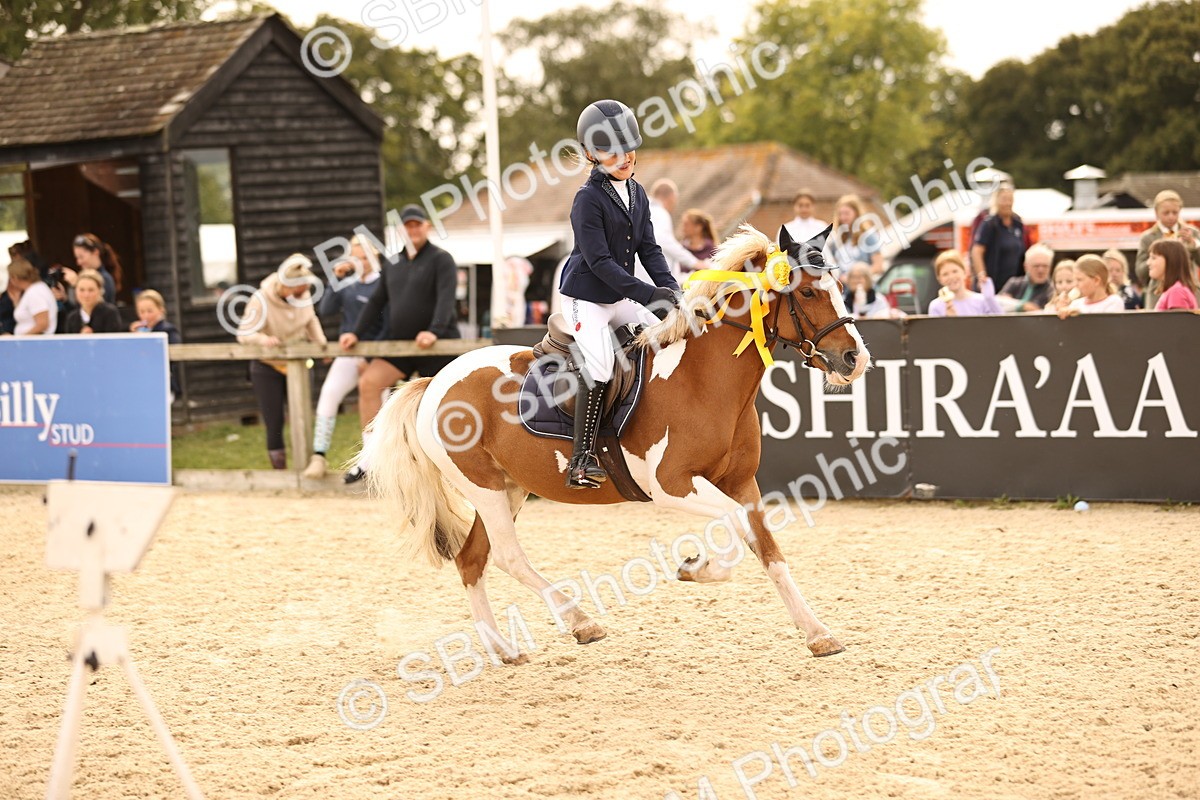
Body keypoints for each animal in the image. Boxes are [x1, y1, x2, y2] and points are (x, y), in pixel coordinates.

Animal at [358, 224, 871, 662]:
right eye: (807, 292)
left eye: (839, 289)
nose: (855, 358)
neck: (704, 379)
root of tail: (436, 379)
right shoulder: (672, 485)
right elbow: (732, 525)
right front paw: (696, 567)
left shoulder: (743, 482)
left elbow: (768, 549)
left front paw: (817, 633)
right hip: (482, 487)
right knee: (505, 555)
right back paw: (579, 621)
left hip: (508, 488)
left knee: (473, 560)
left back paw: (504, 649)